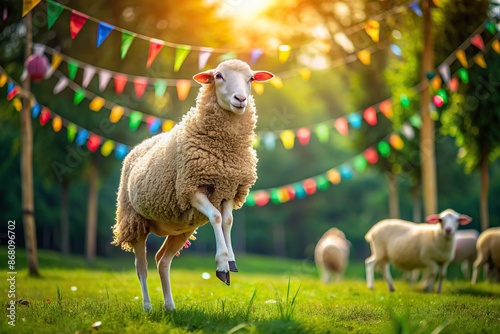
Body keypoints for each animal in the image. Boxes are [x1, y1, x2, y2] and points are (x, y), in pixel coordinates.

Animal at [111, 59, 274, 310]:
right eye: (218, 76)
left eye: (251, 78)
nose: (240, 99)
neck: (225, 151)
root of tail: (139, 146)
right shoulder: (190, 189)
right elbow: (216, 217)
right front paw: (222, 265)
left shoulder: (229, 188)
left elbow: (228, 220)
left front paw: (231, 260)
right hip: (135, 220)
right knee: (141, 268)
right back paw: (147, 306)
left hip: (180, 229)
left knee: (162, 261)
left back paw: (169, 306)